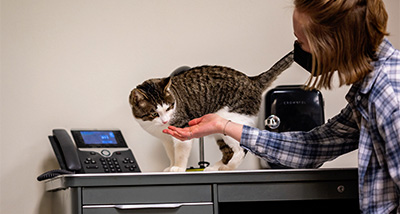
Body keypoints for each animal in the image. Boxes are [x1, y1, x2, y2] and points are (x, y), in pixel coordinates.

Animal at [129, 51, 294, 172]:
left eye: (169, 107)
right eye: (154, 114)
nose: (165, 120)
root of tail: (252, 80)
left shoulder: (181, 130)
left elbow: (180, 153)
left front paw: (178, 168)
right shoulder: (166, 139)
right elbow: (171, 153)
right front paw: (170, 166)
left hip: (233, 119)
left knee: (241, 149)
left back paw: (227, 168)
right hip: (219, 130)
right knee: (228, 152)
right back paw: (215, 167)